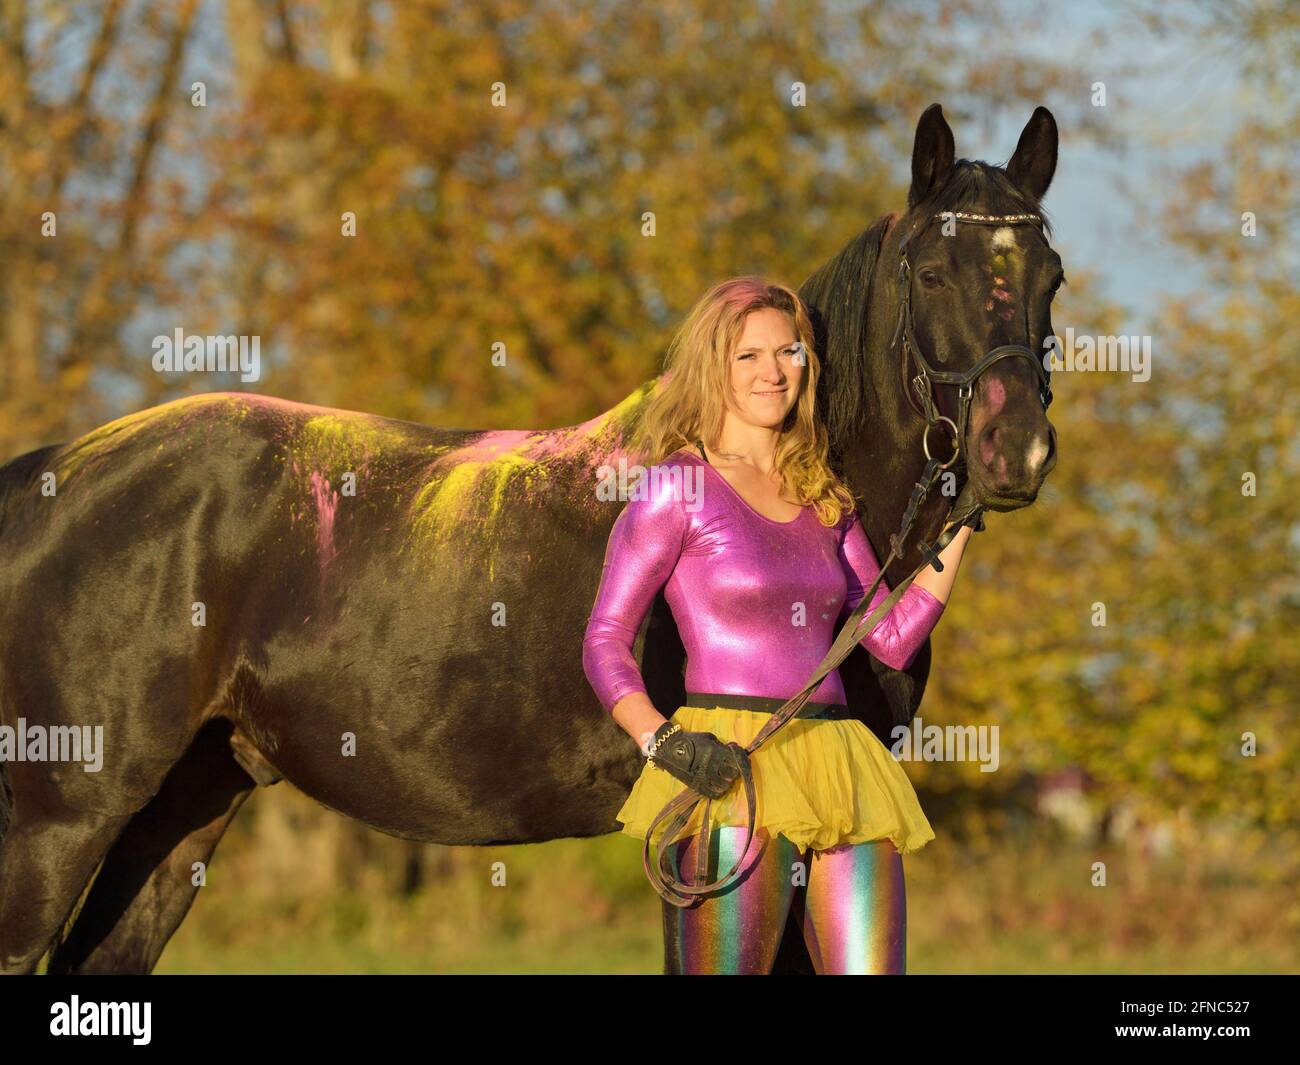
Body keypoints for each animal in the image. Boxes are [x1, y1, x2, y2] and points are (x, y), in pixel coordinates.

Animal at [0, 102, 1055, 972]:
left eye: (1051, 275)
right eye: (932, 272)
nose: (1017, 449)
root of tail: (48, 478)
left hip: (184, 804)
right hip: (61, 815)